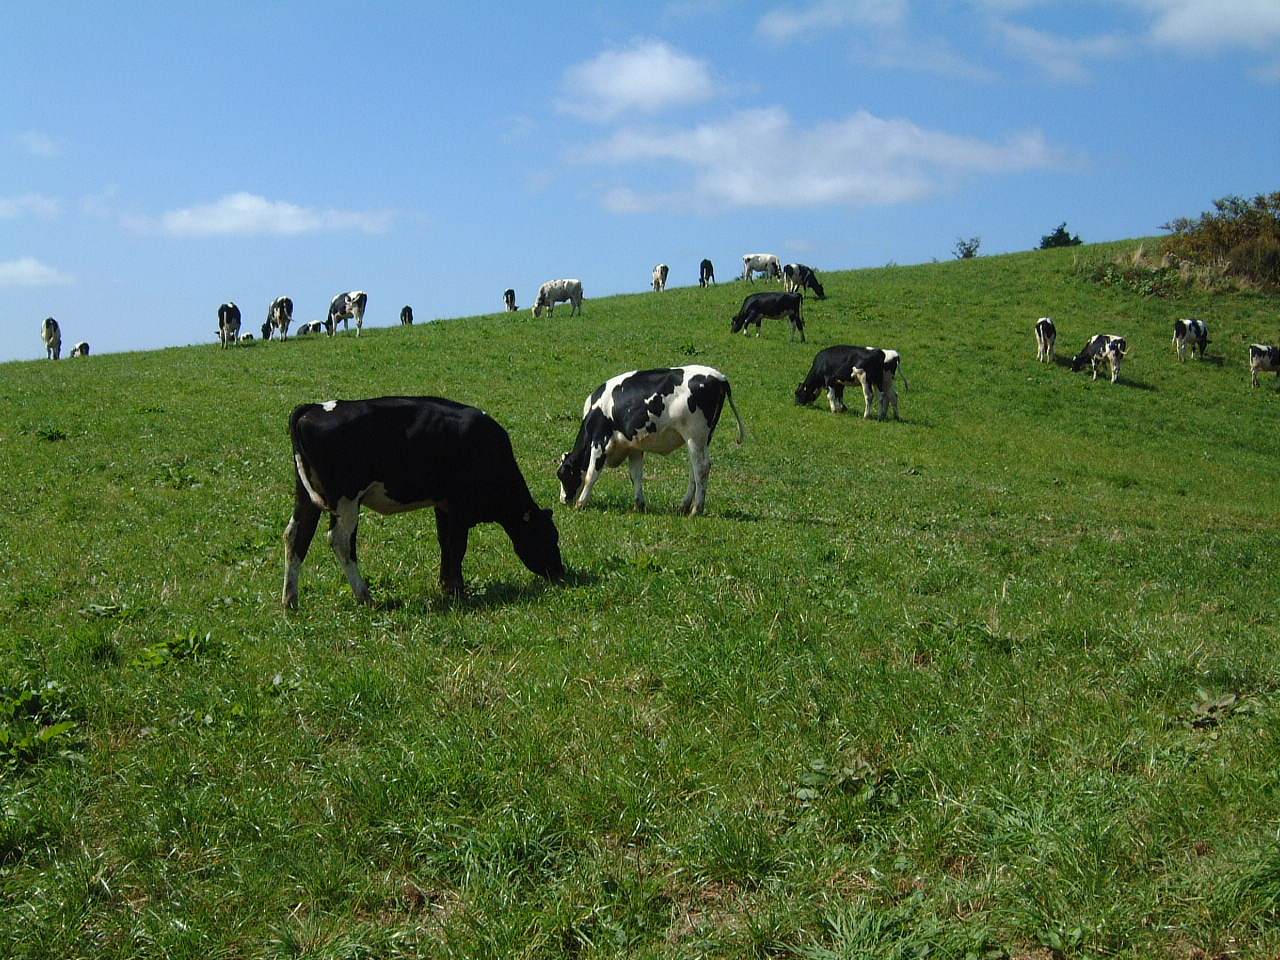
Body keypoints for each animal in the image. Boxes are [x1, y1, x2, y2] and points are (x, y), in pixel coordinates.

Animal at [285, 396, 565, 609]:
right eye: (548, 537)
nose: (560, 574)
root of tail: (312, 408)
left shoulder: (443, 504)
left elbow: (445, 543)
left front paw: (446, 585)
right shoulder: (459, 505)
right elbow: (457, 545)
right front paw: (457, 590)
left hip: (307, 498)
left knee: (295, 537)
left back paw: (290, 600)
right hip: (346, 501)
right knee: (341, 542)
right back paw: (365, 596)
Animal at [555, 366, 747, 519]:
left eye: (562, 475)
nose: (563, 500)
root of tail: (719, 377)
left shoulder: (600, 442)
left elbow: (591, 475)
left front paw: (581, 503)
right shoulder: (633, 446)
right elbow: (636, 475)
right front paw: (639, 505)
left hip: (695, 436)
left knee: (701, 468)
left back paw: (696, 509)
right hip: (703, 438)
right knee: (696, 469)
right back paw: (683, 506)